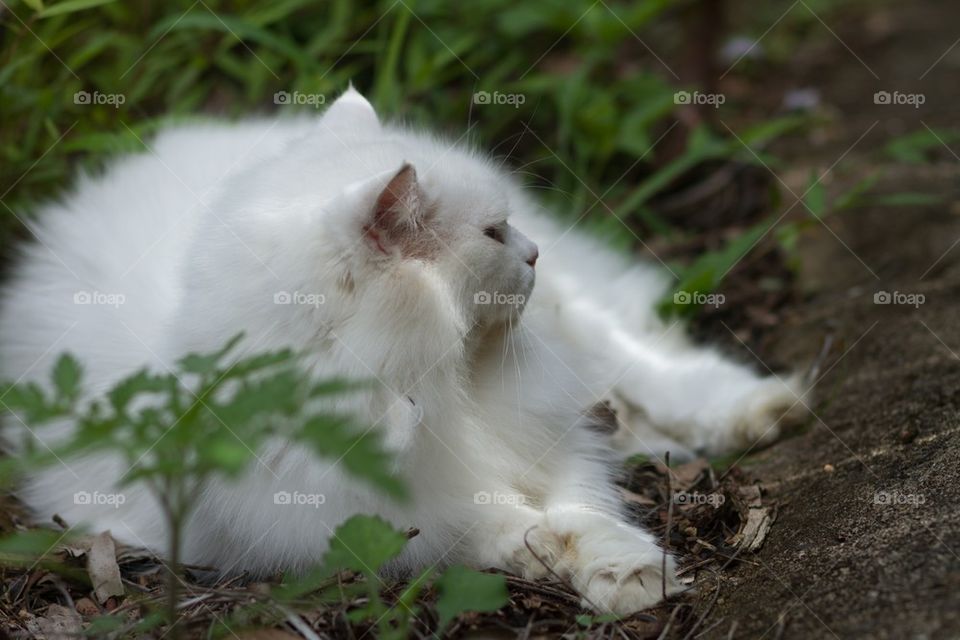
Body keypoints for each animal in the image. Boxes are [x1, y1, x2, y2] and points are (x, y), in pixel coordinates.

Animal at [0, 87, 808, 612]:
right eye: (492, 235)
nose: (533, 253)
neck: (432, 383)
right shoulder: (404, 519)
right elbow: (522, 527)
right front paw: (613, 572)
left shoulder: (549, 435)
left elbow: (584, 502)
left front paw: (631, 571)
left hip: (578, 326)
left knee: (653, 368)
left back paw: (766, 411)